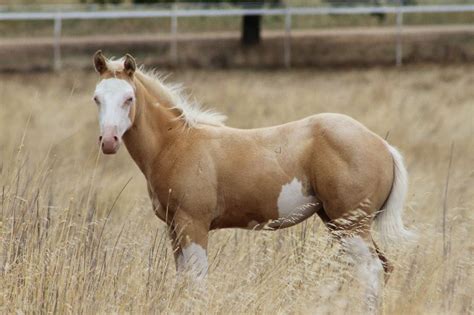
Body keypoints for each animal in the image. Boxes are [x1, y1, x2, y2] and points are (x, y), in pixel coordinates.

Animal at [92, 51, 412, 312]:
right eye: (97, 98)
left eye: (128, 98)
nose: (108, 141)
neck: (177, 144)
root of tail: (382, 146)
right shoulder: (174, 227)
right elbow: (184, 279)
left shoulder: (193, 224)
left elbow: (197, 282)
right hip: (339, 223)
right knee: (382, 267)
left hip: (352, 224)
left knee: (371, 270)